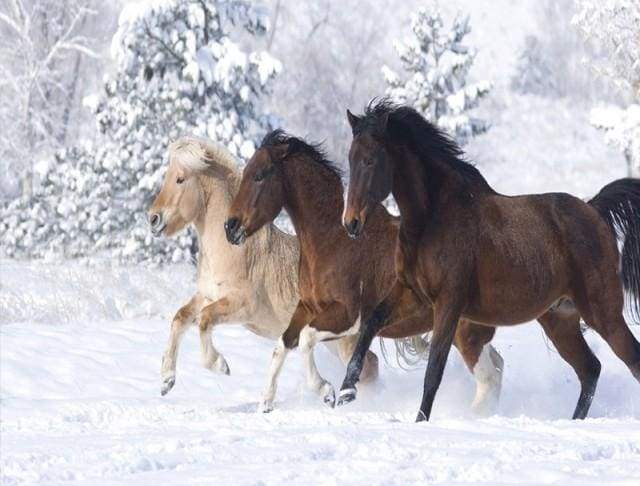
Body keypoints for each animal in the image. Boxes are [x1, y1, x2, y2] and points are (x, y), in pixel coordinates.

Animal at [147, 135, 379, 396]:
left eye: (180, 178)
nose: (153, 219)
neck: (232, 249)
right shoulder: (206, 295)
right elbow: (180, 318)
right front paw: (167, 380)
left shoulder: (242, 305)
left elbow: (205, 320)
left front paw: (220, 365)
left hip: (344, 340)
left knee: (369, 366)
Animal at [225, 129, 505, 413]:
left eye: (259, 175)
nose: (230, 227)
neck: (332, 239)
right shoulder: (308, 307)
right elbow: (282, 345)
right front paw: (265, 403)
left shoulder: (348, 316)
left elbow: (305, 340)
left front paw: (327, 391)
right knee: (497, 367)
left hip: (464, 333)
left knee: (489, 379)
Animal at [338, 99, 640, 422]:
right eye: (351, 158)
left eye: (370, 160)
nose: (351, 223)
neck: (432, 218)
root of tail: (594, 210)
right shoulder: (411, 294)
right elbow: (370, 325)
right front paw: (345, 392)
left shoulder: (448, 303)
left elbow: (434, 371)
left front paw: (420, 421)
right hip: (561, 319)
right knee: (590, 369)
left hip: (602, 312)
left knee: (629, 360)